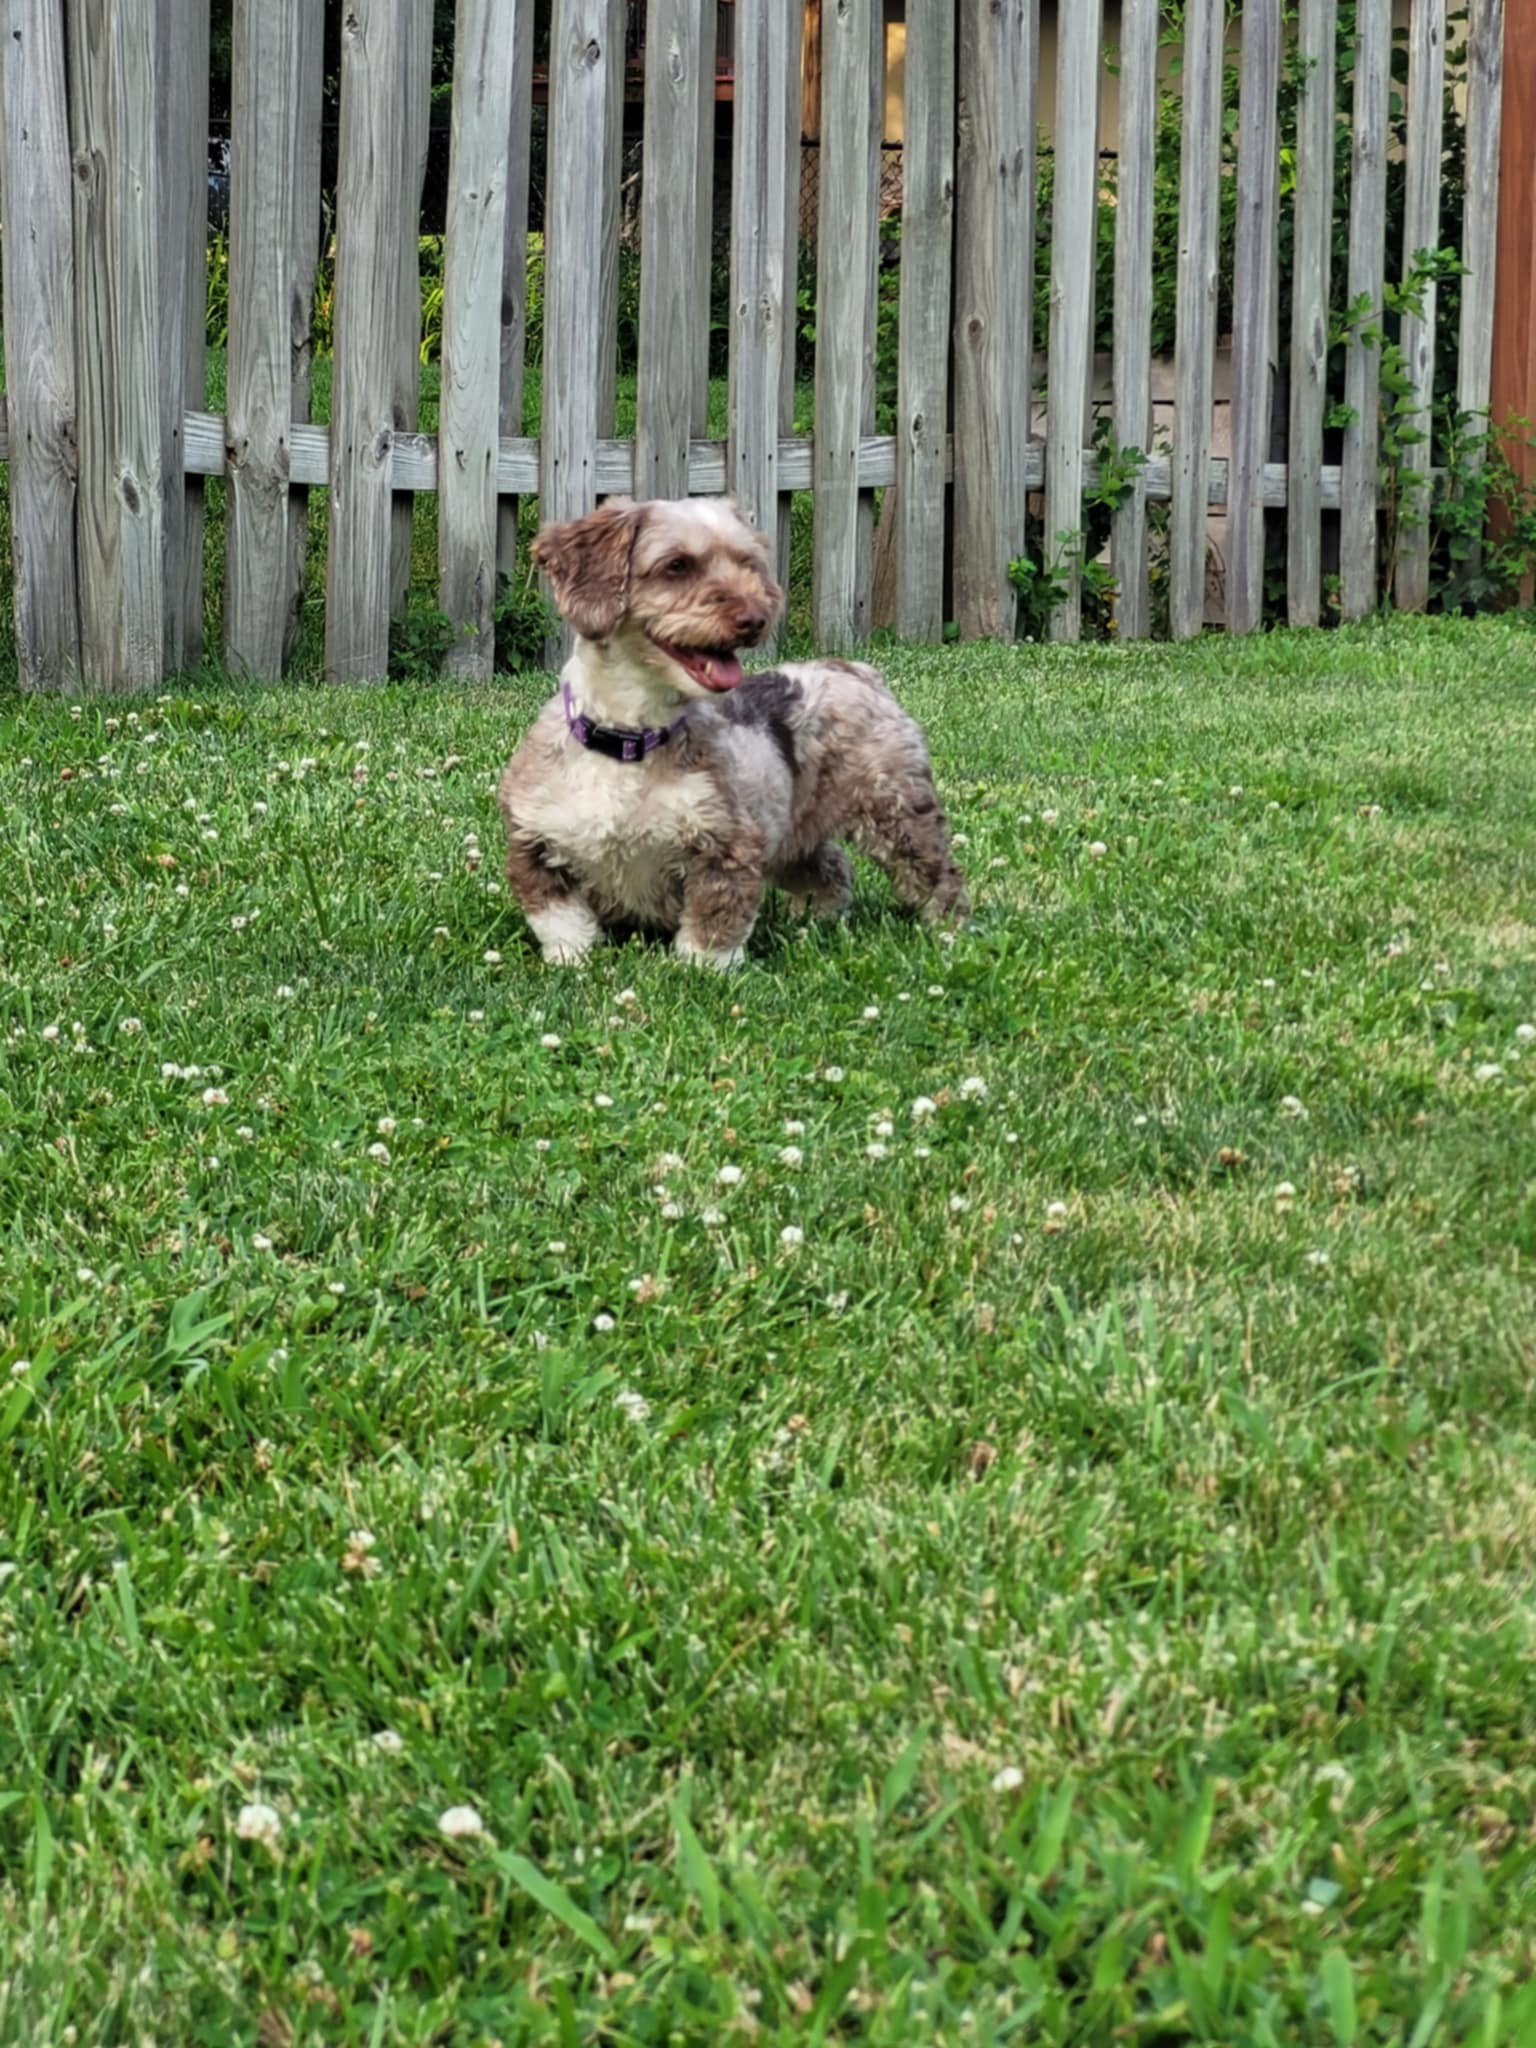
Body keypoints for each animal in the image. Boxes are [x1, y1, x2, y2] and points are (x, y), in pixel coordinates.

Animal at [499, 499, 966, 970]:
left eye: (747, 563)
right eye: (676, 564)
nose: (754, 618)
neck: (631, 742)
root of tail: (856, 669)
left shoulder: (728, 840)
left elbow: (715, 917)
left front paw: (702, 969)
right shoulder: (534, 841)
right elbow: (560, 920)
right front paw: (571, 962)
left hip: (898, 811)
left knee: (939, 876)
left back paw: (949, 932)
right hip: (792, 833)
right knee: (833, 867)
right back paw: (814, 919)